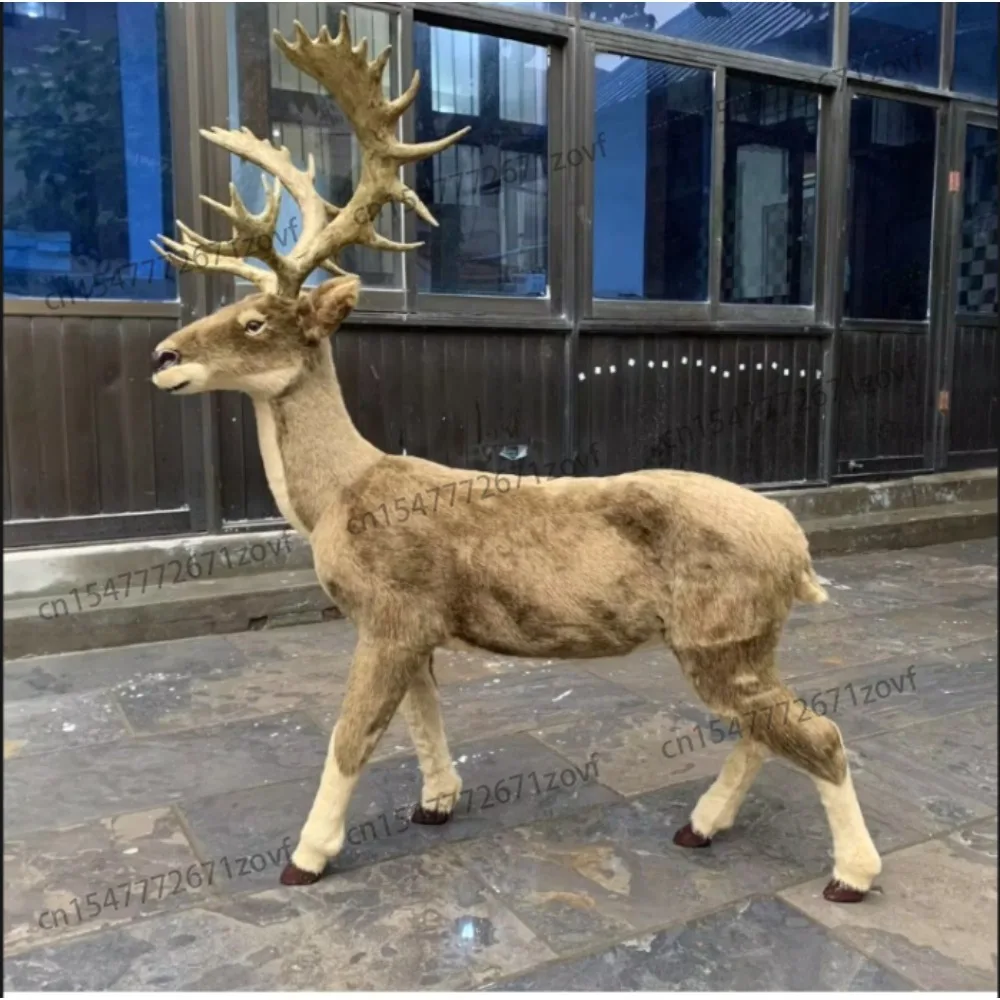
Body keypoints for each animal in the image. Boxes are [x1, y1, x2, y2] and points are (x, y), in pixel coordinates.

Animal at [150, 15, 881, 904]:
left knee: (819, 731)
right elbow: (424, 715)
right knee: (767, 730)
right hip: (740, 640)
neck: (335, 498)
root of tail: (798, 550)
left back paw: (850, 875)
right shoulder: (418, 625)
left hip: (720, 631)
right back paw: (701, 826)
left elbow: (352, 734)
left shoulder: (389, 612)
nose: (161, 356)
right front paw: (437, 801)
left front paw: (308, 856)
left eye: (255, 321)